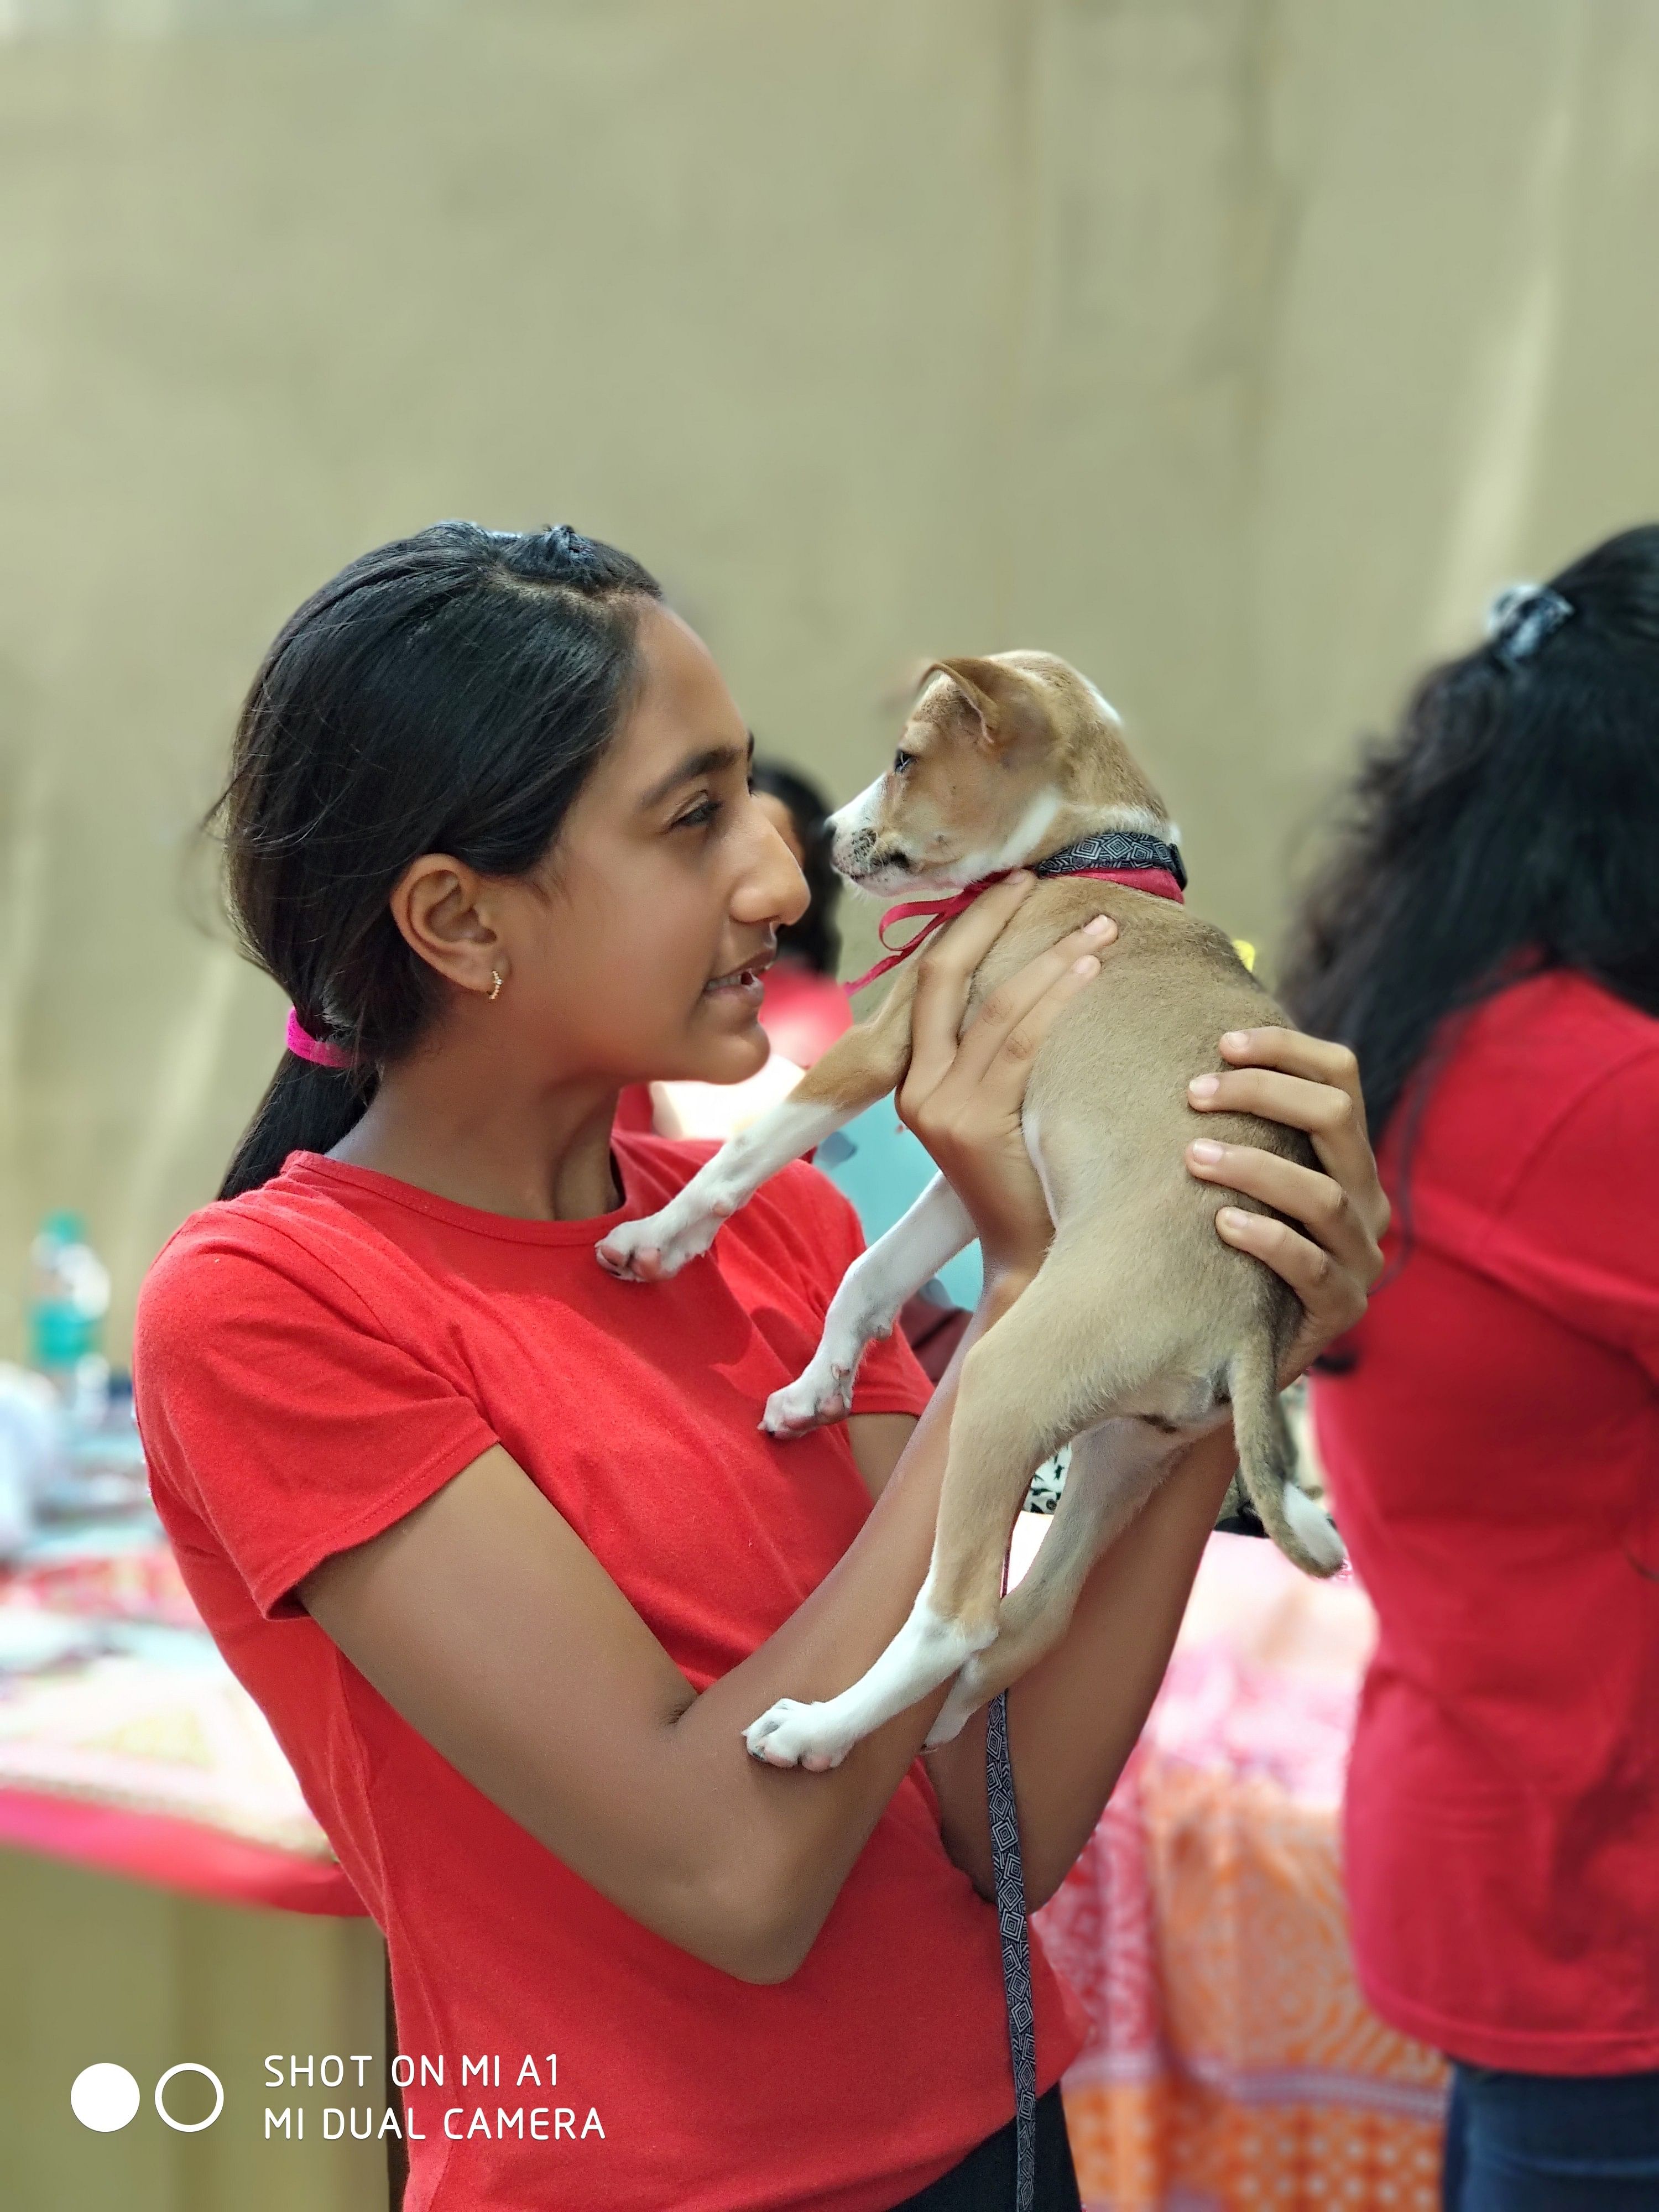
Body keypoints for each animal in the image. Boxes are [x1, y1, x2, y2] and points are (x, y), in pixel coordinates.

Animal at [597, 655, 1354, 1778]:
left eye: (907, 758)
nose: (827, 837)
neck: (1093, 855)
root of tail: (1252, 1324)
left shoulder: (882, 1042)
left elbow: (744, 1156)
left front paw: (657, 1239)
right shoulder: (973, 1157)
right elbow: (872, 1274)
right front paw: (817, 1389)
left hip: (1005, 1387)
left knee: (960, 1618)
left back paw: (818, 1730)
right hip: (1126, 1452)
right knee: (1031, 1623)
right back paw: (944, 1733)